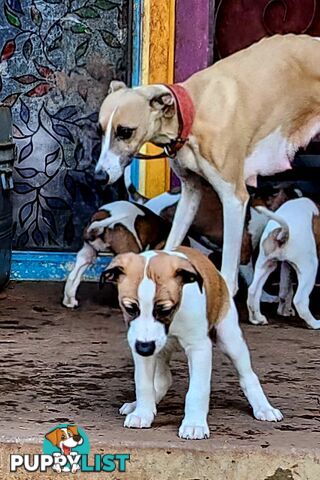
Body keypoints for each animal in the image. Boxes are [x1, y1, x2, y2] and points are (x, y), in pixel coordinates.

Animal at [95, 34, 320, 296]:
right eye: (100, 130)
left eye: (125, 132)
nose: (99, 176)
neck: (192, 111)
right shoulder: (190, 193)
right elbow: (171, 244)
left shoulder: (234, 200)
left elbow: (229, 277)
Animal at [100, 248, 282, 438]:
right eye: (130, 308)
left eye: (164, 309)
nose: (145, 348)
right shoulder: (142, 344)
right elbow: (144, 384)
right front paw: (142, 413)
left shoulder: (199, 348)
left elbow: (197, 390)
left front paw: (194, 424)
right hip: (162, 349)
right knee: (163, 379)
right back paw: (138, 405)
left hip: (230, 338)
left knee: (248, 375)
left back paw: (264, 408)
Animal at [248, 197, 320, 328]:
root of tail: (282, 231)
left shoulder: (286, 265)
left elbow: (286, 288)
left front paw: (284, 310)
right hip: (310, 267)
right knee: (300, 299)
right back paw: (314, 324)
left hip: (266, 265)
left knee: (253, 290)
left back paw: (257, 318)